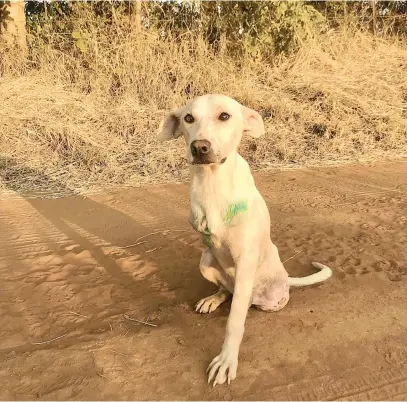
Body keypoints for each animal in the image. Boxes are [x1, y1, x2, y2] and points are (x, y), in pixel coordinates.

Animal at [158, 94, 334, 386]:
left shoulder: (245, 258)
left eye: (225, 116)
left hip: (270, 296)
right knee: (226, 290)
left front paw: (226, 362)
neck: (213, 180)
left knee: (245, 302)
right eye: (188, 118)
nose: (200, 147)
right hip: (205, 261)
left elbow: (234, 322)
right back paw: (214, 298)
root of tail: (287, 279)